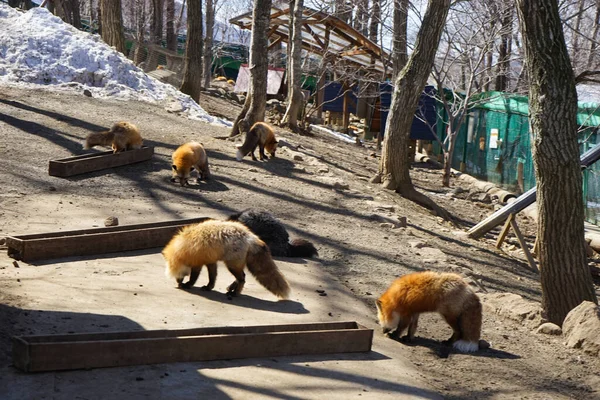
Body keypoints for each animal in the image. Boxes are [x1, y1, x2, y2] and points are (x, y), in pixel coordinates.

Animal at [161, 219, 290, 300]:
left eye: (178, 275)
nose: (178, 284)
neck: (183, 247)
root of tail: (250, 236)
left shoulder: (198, 262)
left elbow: (194, 277)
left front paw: (188, 284)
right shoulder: (210, 261)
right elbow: (212, 277)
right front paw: (209, 287)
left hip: (231, 265)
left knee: (242, 278)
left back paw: (235, 293)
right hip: (235, 265)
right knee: (242, 277)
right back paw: (231, 289)